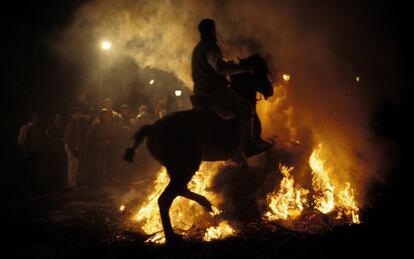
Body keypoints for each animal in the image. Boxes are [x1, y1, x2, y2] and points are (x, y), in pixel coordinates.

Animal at [124, 54, 274, 244]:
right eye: (259, 71)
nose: (270, 89)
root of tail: (153, 128)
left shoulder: (235, 155)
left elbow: (244, 167)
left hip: (177, 168)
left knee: (180, 190)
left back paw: (205, 203)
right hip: (187, 166)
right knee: (165, 199)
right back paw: (172, 235)